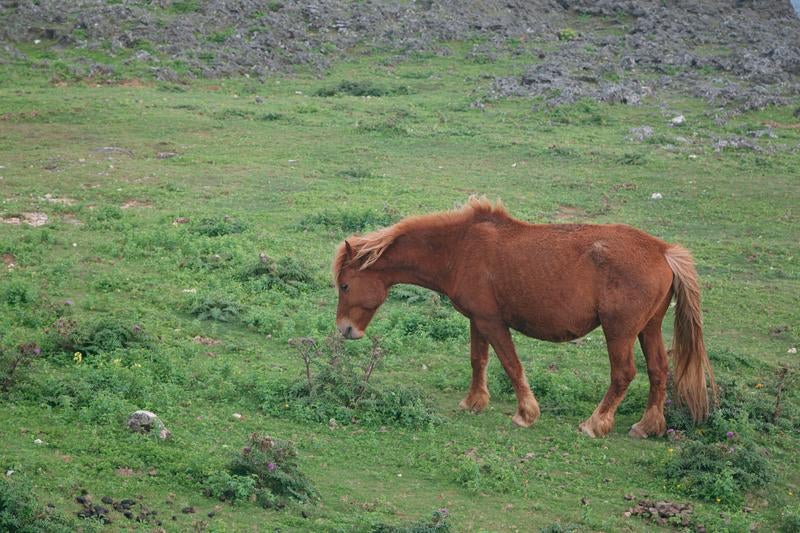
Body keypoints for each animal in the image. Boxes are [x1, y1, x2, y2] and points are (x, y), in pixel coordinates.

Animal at [332, 197, 716, 438]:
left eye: (345, 285)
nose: (344, 331)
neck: (461, 248)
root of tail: (663, 251)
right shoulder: (477, 320)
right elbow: (478, 360)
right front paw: (474, 402)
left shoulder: (492, 322)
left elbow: (510, 364)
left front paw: (526, 413)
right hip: (648, 328)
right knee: (658, 371)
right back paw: (648, 425)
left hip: (619, 332)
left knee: (624, 374)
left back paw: (594, 424)